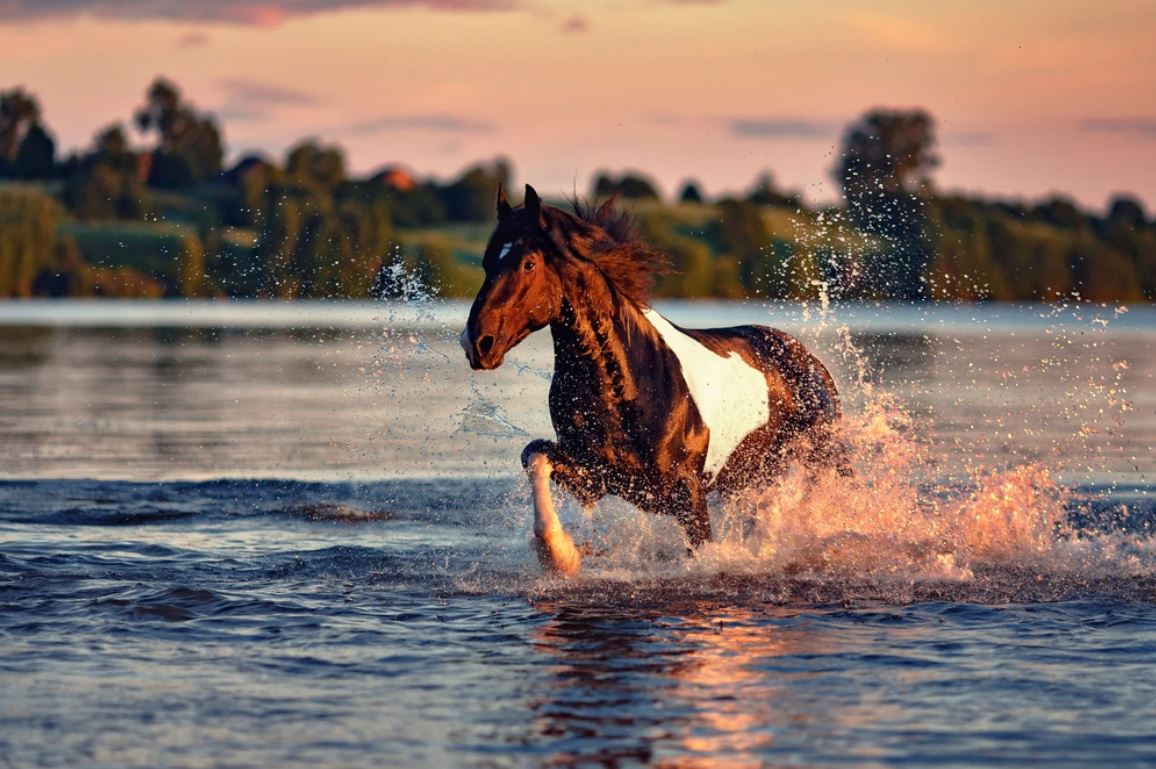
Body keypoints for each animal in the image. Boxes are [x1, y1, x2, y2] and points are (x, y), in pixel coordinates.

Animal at [461, 184, 843, 576]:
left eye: (528, 263)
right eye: (487, 263)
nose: (477, 342)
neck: (627, 388)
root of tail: (805, 357)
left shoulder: (688, 492)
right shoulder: (594, 474)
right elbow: (534, 455)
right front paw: (561, 555)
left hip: (821, 458)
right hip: (750, 477)